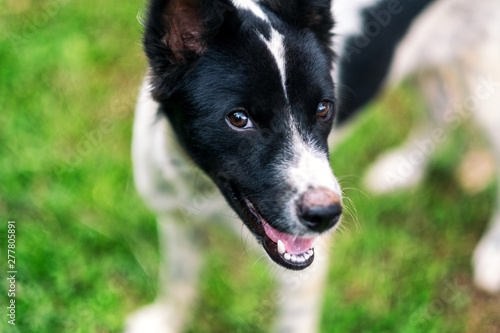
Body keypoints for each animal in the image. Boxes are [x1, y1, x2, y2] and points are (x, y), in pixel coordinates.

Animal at [127, 0, 498, 332]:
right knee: (441, 105)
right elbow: (179, 280)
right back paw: (405, 170)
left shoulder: (304, 277)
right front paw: (166, 322)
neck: (202, 188)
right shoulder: (176, 218)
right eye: (238, 119)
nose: (326, 216)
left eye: (323, 108)